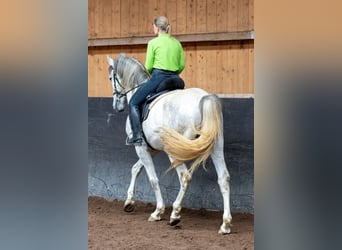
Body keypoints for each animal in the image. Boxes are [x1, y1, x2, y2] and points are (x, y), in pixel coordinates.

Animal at [106, 53, 232, 234]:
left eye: (111, 77)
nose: (117, 105)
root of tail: (203, 99)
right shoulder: (152, 149)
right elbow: (136, 169)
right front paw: (129, 202)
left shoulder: (140, 147)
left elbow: (153, 179)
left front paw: (158, 212)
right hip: (215, 146)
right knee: (224, 178)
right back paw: (225, 224)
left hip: (176, 150)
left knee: (185, 177)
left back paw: (175, 214)